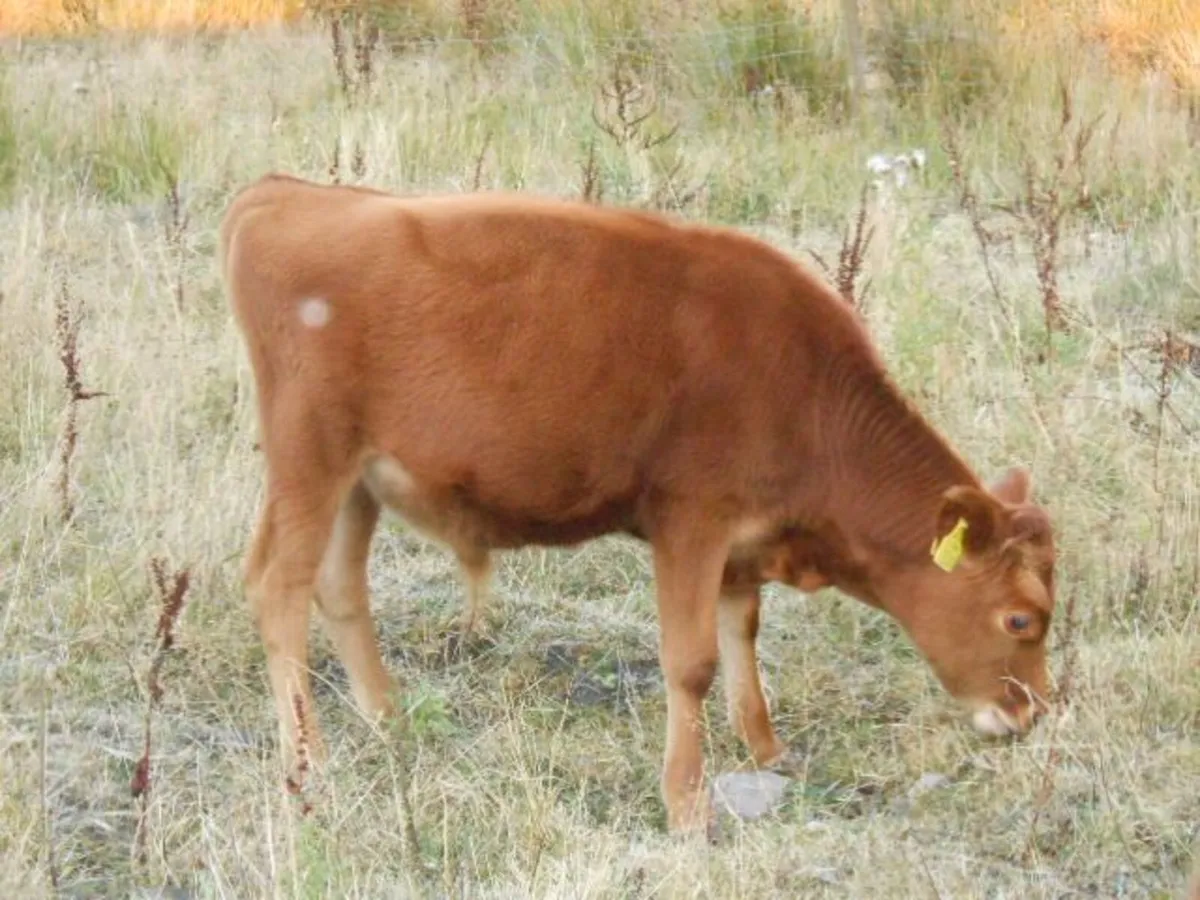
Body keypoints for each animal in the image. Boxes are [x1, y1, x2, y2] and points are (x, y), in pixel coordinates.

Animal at [218, 172, 1058, 837]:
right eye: (1021, 620)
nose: (1031, 717)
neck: (806, 398)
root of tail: (286, 193)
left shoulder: (742, 538)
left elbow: (742, 632)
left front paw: (768, 750)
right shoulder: (691, 519)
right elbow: (691, 663)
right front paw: (686, 804)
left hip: (359, 479)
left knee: (339, 586)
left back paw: (388, 722)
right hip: (308, 455)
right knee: (277, 587)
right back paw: (310, 763)